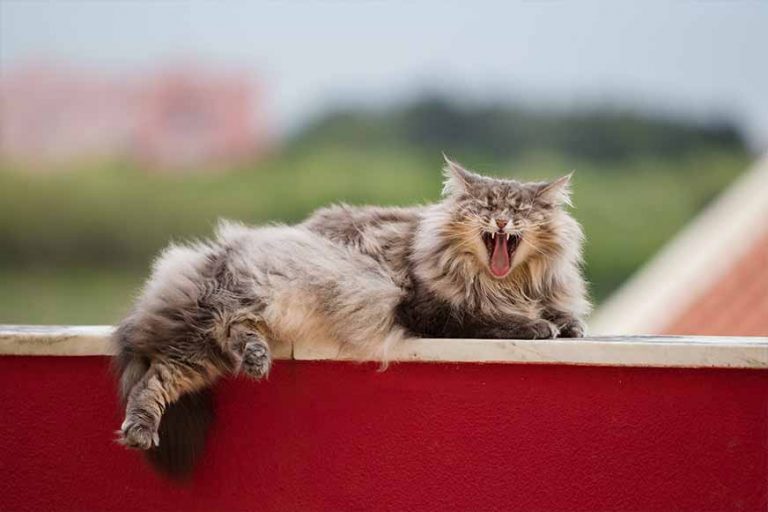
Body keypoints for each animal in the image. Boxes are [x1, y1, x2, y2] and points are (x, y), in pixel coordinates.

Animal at [114, 158, 592, 478]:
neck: (504, 283)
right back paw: (141, 429)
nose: (502, 220)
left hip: (223, 332)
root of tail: (212, 255)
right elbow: (490, 319)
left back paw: (255, 359)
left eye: (520, 211)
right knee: (155, 379)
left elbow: (564, 316)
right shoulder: (430, 311)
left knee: (218, 344)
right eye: (485, 207)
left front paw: (565, 323)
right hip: (215, 323)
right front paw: (537, 326)